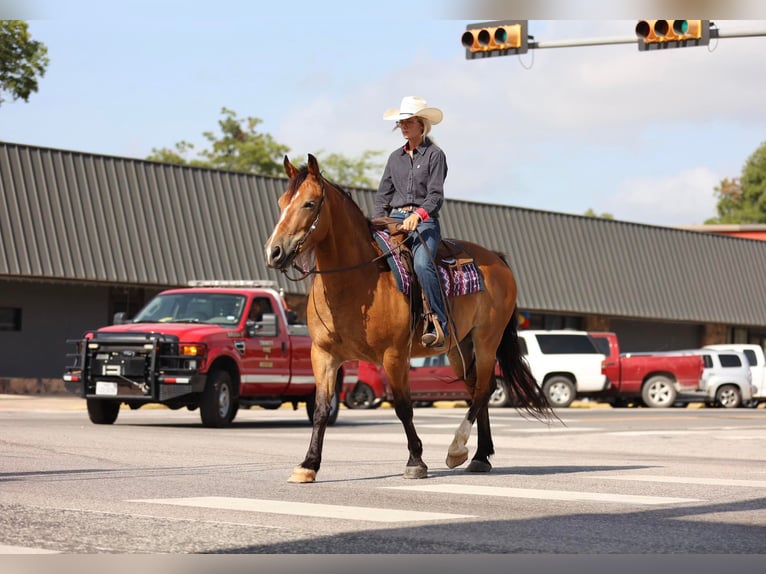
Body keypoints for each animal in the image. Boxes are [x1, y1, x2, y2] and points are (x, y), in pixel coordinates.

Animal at [268, 155, 556, 484]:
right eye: (282, 202)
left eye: (310, 204)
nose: (274, 252)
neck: (356, 280)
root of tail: (498, 260)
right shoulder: (323, 355)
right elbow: (320, 410)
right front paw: (308, 465)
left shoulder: (394, 355)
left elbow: (404, 408)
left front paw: (416, 461)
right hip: (459, 347)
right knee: (475, 391)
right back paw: (480, 456)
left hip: (486, 341)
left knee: (484, 389)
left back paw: (457, 449)